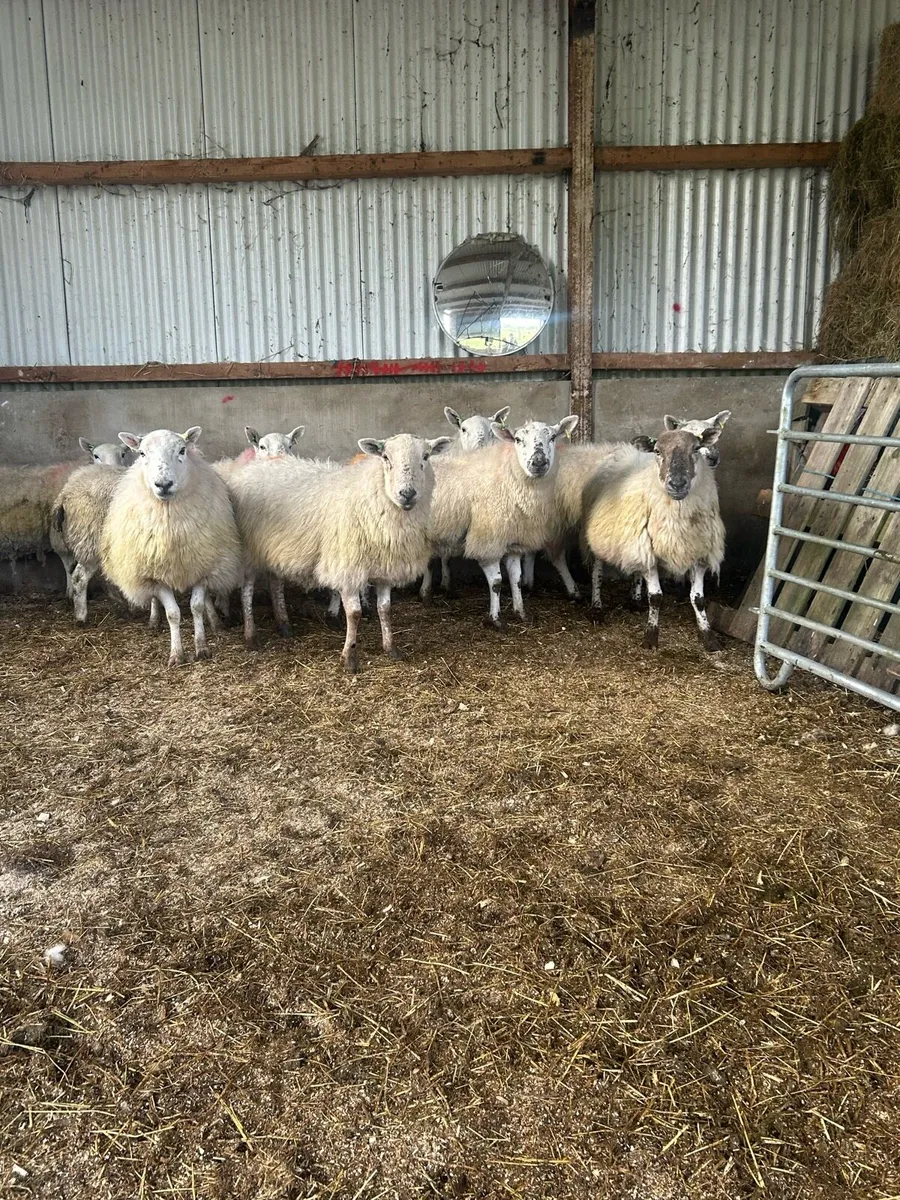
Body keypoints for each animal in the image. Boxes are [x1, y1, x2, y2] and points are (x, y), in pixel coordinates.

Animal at [100, 428, 243, 666]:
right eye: (142, 453)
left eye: (182, 450)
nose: (164, 484)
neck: (171, 528)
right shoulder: (156, 575)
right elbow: (173, 613)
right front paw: (176, 654)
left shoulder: (201, 567)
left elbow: (197, 607)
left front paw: (202, 647)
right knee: (154, 600)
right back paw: (153, 619)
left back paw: (215, 621)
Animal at [227, 433, 451, 672]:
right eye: (385, 457)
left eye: (426, 456)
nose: (407, 494)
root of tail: (254, 467)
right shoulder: (348, 566)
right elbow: (354, 614)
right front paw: (350, 657)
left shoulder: (385, 568)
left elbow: (385, 609)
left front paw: (391, 648)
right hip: (249, 549)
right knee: (247, 590)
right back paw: (251, 636)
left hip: (275, 549)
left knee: (275, 582)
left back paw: (284, 625)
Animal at [419, 404, 510, 602]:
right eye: (463, 429)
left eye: (491, 430)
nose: (480, 447)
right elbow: (429, 559)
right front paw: (425, 591)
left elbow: (446, 557)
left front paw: (446, 584)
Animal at [426, 415, 578, 627]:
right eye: (518, 439)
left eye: (553, 437)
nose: (538, 462)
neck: (509, 480)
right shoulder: (488, 541)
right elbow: (496, 582)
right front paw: (496, 618)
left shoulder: (513, 541)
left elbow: (516, 578)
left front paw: (520, 612)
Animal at [582, 425, 725, 651]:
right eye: (658, 451)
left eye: (696, 448)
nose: (677, 483)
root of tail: (622, 449)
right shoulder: (647, 552)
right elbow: (656, 597)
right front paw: (651, 637)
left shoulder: (700, 553)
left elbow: (698, 599)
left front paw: (708, 637)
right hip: (602, 539)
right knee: (597, 573)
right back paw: (597, 608)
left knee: (637, 573)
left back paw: (635, 601)